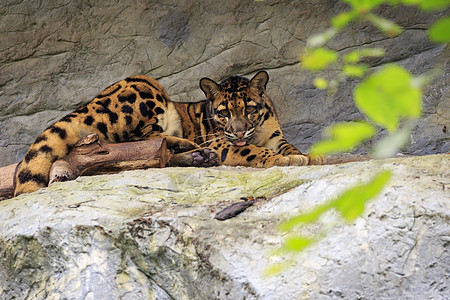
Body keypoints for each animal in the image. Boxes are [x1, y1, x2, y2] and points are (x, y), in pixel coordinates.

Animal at [14, 71, 324, 196]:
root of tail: (88, 104)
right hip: (145, 88)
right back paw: (189, 146)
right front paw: (283, 160)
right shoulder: (225, 143)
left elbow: (289, 147)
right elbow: (254, 151)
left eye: (249, 109)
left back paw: (197, 156)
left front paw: (307, 157)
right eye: (223, 113)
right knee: (141, 143)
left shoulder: (274, 136)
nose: (237, 132)